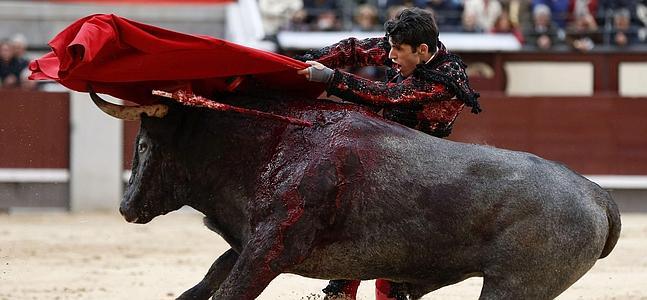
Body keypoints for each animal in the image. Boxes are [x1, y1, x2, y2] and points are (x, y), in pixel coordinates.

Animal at [91, 91, 624, 300]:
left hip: (514, 287)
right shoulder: (246, 246)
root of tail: (596, 194)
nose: (124, 208)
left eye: (143, 144)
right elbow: (200, 287)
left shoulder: (269, 250)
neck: (273, 143)